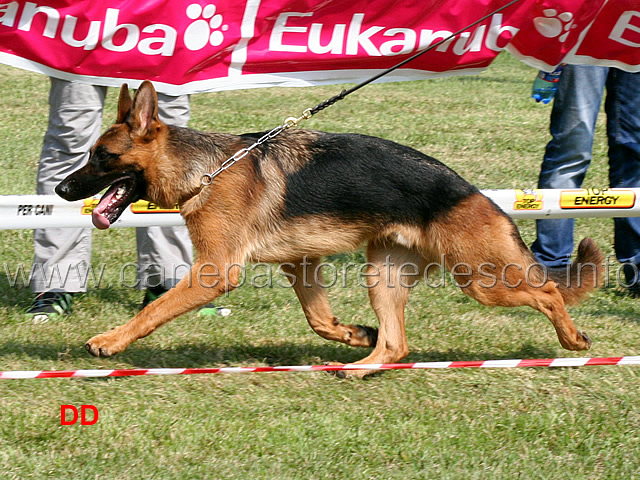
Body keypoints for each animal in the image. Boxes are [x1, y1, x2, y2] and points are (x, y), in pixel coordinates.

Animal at [55, 80, 600, 376]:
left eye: (102, 157)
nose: (60, 189)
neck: (207, 170)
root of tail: (476, 194)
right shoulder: (301, 263)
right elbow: (318, 319)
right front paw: (353, 333)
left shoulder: (215, 272)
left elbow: (154, 310)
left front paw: (111, 341)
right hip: (383, 275)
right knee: (396, 344)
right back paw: (359, 366)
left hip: (481, 278)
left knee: (549, 290)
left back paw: (573, 340)